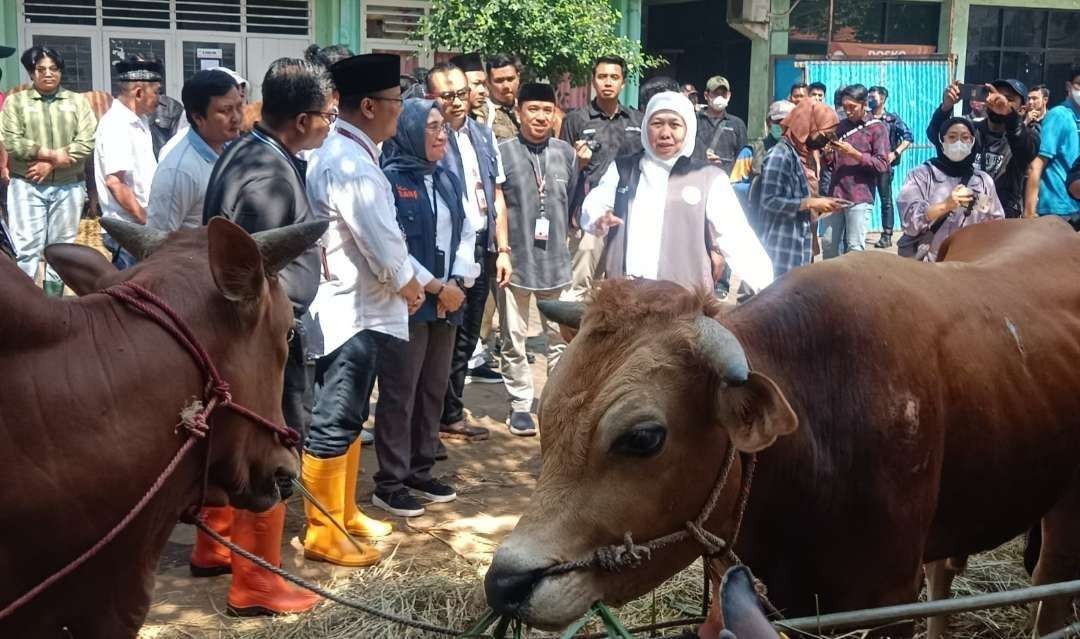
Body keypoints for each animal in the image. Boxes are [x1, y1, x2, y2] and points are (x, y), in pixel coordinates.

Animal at [486, 216, 1080, 634]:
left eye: (644, 437)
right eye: (547, 413)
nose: (505, 583)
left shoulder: (888, 599)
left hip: (1064, 515)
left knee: (1050, 591)